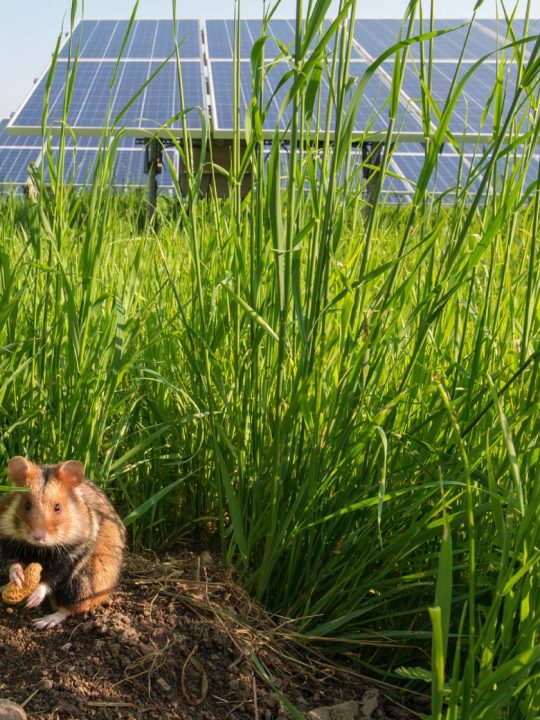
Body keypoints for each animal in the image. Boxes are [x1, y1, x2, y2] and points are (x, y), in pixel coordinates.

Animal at [0, 456, 126, 632]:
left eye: (58, 507)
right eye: (27, 505)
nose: (38, 537)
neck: (40, 549)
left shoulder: (72, 554)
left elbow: (53, 576)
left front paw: (33, 600)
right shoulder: (8, 541)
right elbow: (13, 562)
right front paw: (18, 579)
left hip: (82, 583)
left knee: (71, 608)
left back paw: (42, 622)